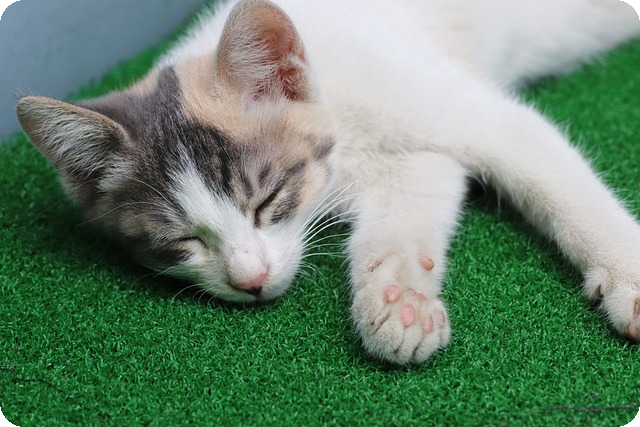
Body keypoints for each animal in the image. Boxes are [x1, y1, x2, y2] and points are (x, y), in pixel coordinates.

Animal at [16, 0, 640, 364]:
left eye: (266, 200)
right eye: (182, 242)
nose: (250, 281)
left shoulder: (472, 113)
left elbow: (560, 185)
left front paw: (630, 281)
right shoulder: (419, 161)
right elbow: (410, 211)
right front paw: (400, 302)